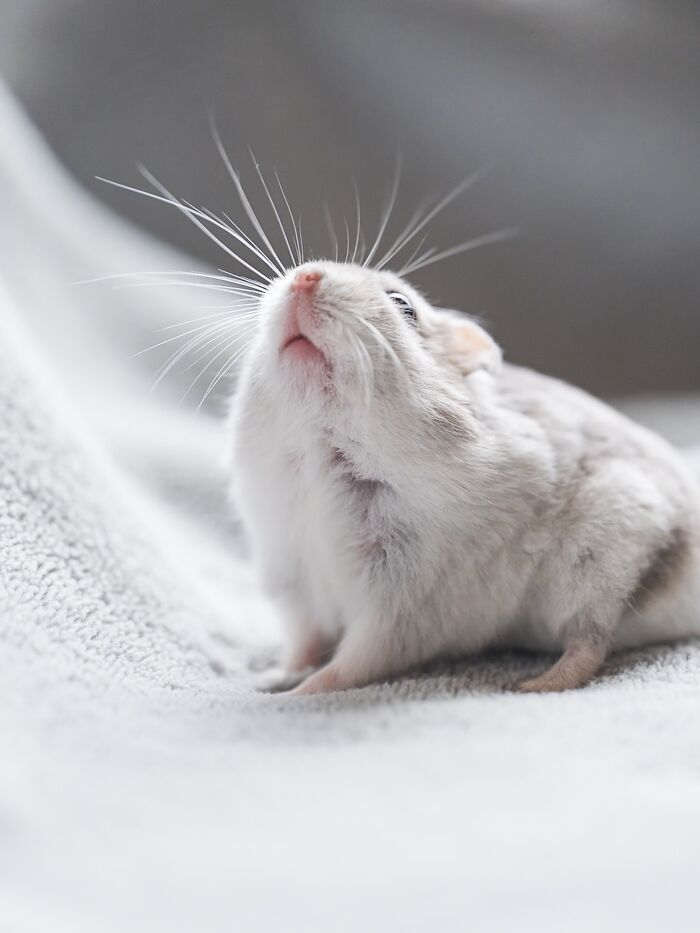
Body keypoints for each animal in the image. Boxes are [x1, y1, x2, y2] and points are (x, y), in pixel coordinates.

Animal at [229, 261, 700, 694]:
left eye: (403, 305)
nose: (305, 275)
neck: (318, 453)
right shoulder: (296, 580)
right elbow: (304, 645)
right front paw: (270, 678)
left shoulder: (404, 603)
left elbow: (354, 662)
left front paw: (296, 694)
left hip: (603, 555)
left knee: (590, 642)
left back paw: (532, 685)